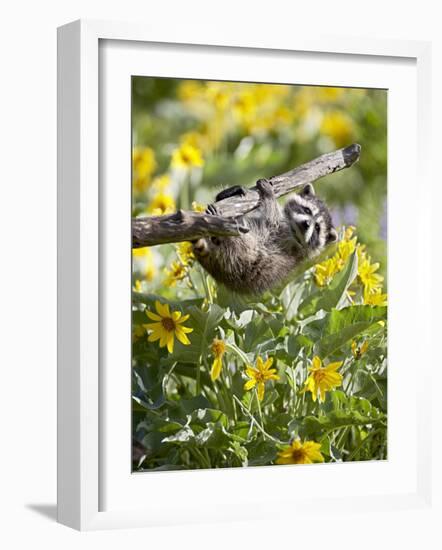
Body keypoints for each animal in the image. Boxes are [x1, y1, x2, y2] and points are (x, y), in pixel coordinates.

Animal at [192, 180, 336, 298]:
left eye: (317, 227)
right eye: (307, 210)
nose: (306, 223)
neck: (291, 225)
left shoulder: (286, 241)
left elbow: (271, 222)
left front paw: (269, 195)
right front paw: (226, 194)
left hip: (242, 255)